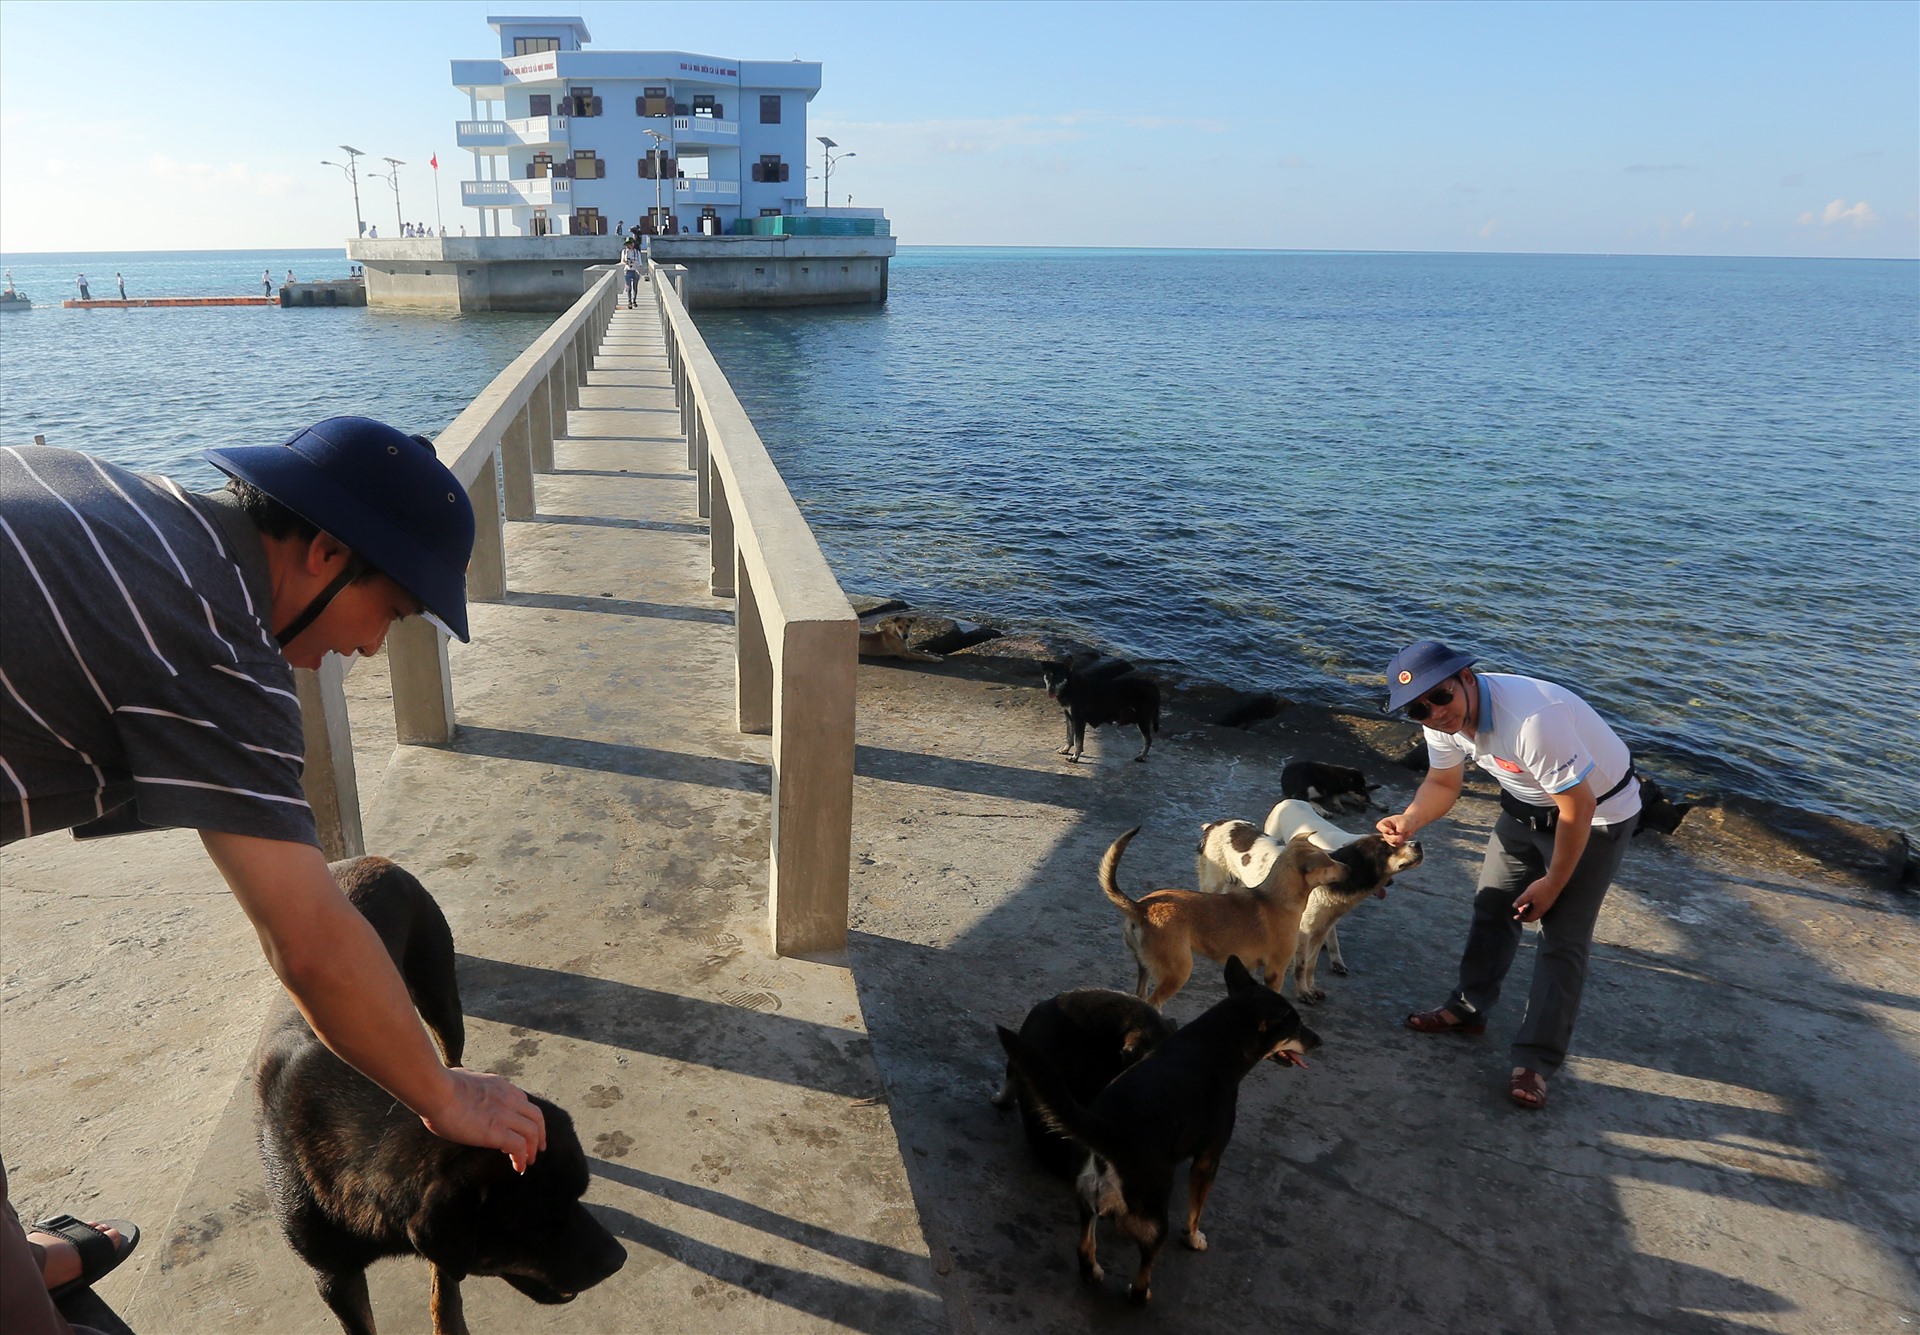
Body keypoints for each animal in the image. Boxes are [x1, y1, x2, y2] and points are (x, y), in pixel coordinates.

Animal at [253, 856, 622, 1335]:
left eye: (577, 1196)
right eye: (536, 1218)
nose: (619, 1259)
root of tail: (368, 860)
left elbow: (444, 1296)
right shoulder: (334, 1276)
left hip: (440, 998)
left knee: (452, 1056)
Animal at [1105, 818, 1344, 1006]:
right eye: (1329, 863)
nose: (1348, 868)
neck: (1276, 897)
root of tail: (1141, 908)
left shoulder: (1249, 969)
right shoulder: (1275, 971)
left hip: (1145, 967)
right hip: (1177, 971)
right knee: (1153, 1003)